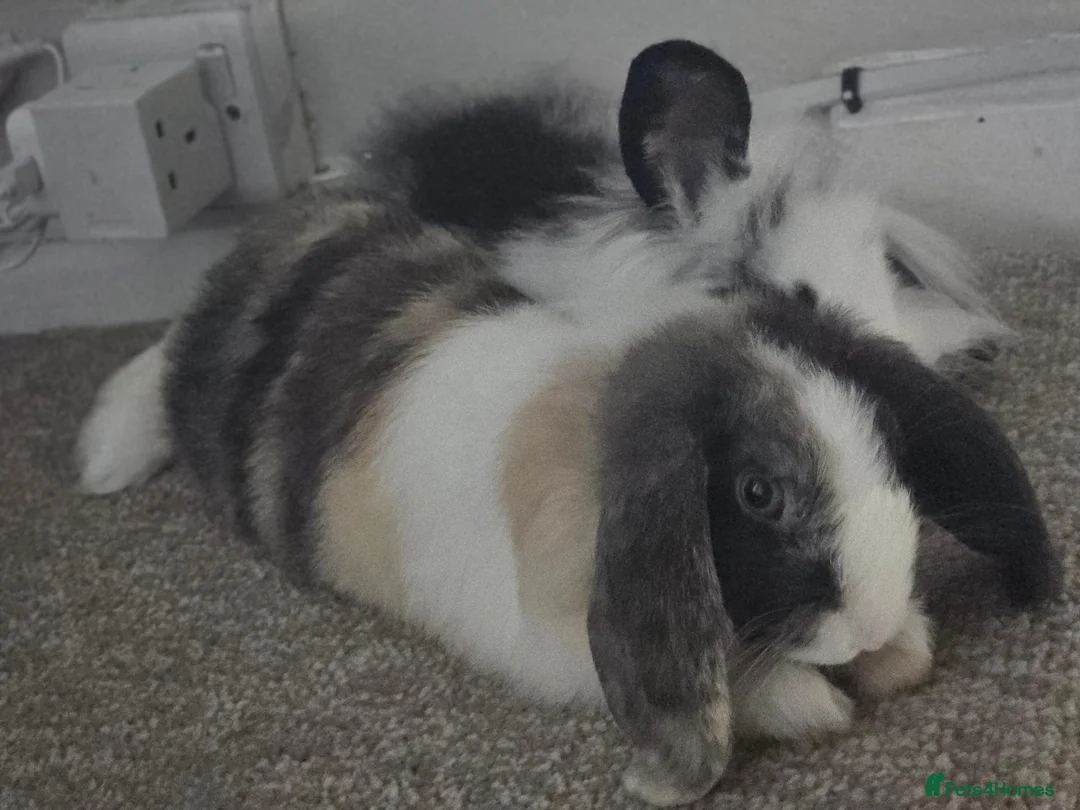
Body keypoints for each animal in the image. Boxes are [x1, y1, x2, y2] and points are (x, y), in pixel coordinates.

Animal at [76, 176, 1059, 804]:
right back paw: (103, 461)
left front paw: (903, 650)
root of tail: (262, 244)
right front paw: (815, 701)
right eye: (756, 494)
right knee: (151, 365)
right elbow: (739, 689)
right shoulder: (558, 647)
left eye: (884, 441)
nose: (871, 617)